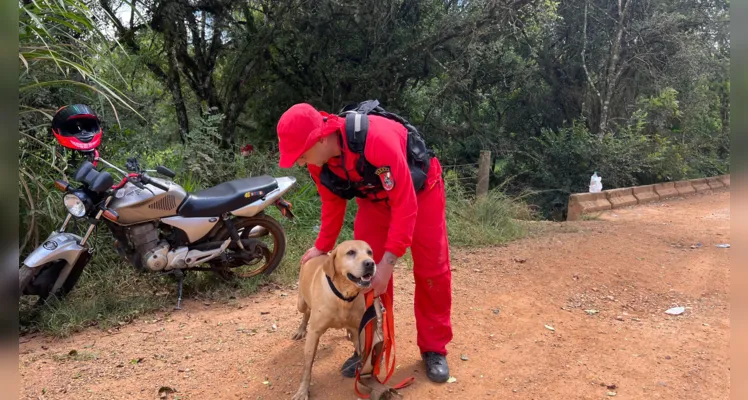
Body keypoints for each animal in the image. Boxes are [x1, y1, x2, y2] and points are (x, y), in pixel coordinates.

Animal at [290, 241, 376, 400]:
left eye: (370, 252)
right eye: (351, 252)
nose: (370, 263)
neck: (343, 296)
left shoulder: (360, 330)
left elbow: (363, 355)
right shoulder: (314, 333)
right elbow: (307, 366)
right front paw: (302, 391)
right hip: (301, 303)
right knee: (306, 312)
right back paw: (301, 330)